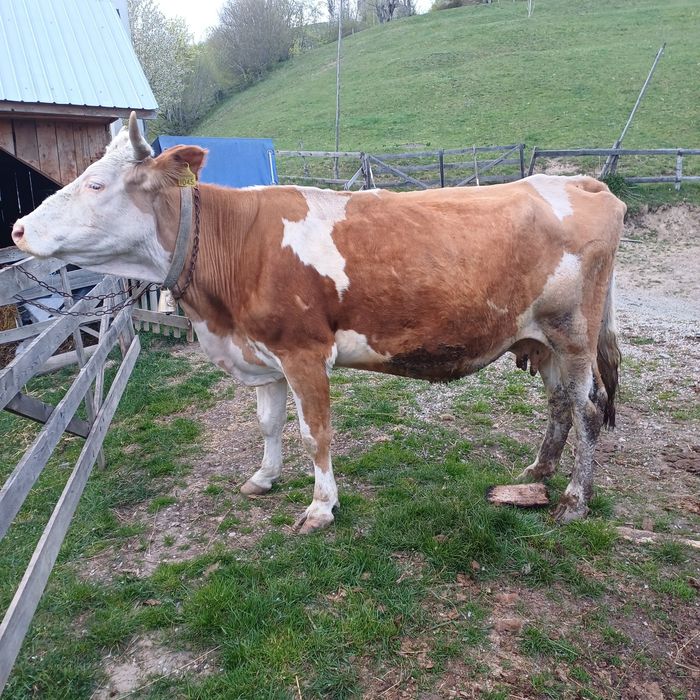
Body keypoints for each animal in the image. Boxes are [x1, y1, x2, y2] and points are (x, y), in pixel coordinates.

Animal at [12, 114, 624, 533]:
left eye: (95, 185)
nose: (17, 229)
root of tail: (577, 182)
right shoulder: (263, 355)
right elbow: (266, 424)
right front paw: (263, 478)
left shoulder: (304, 352)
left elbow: (315, 432)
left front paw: (321, 506)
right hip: (542, 339)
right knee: (560, 405)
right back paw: (538, 472)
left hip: (573, 335)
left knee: (589, 408)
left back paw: (574, 498)